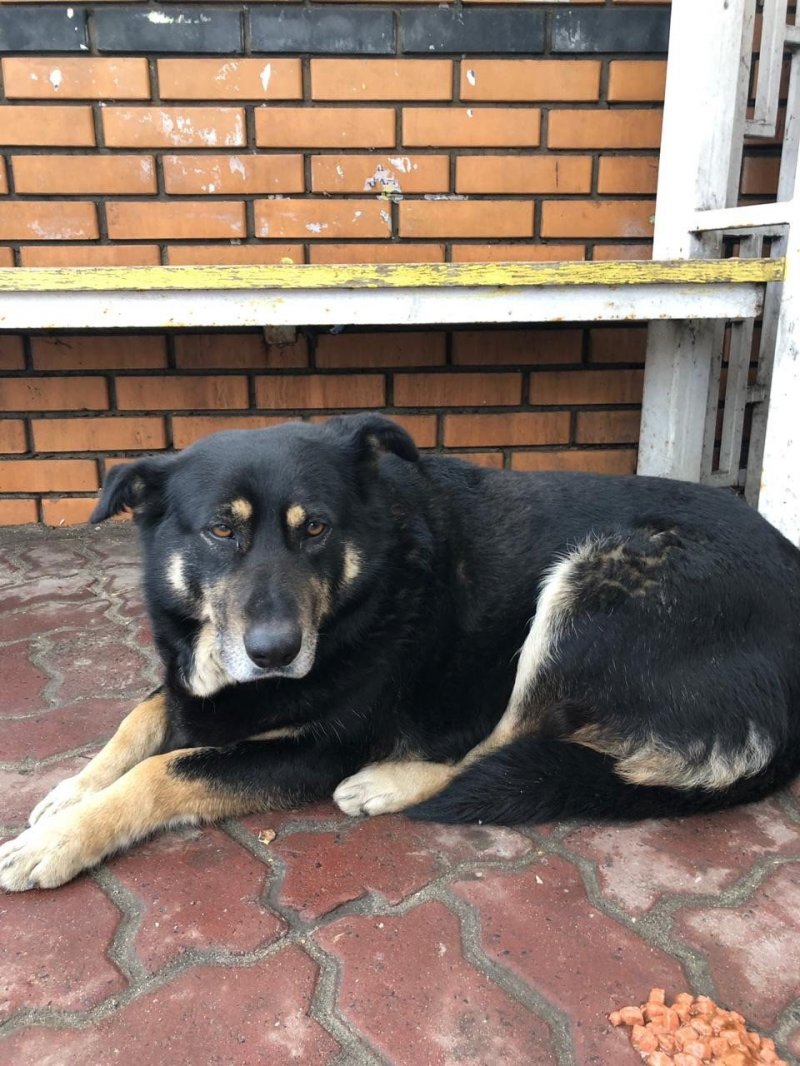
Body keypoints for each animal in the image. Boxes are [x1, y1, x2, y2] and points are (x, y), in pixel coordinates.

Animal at [1, 415, 800, 891]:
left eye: (315, 528)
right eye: (221, 531)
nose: (275, 653)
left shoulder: (318, 747)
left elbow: (166, 769)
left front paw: (60, 841)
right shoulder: (191, 682)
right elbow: (138, 722)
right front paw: (68, 793)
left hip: (588, 588)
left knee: (494, 744)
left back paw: (390, 783)